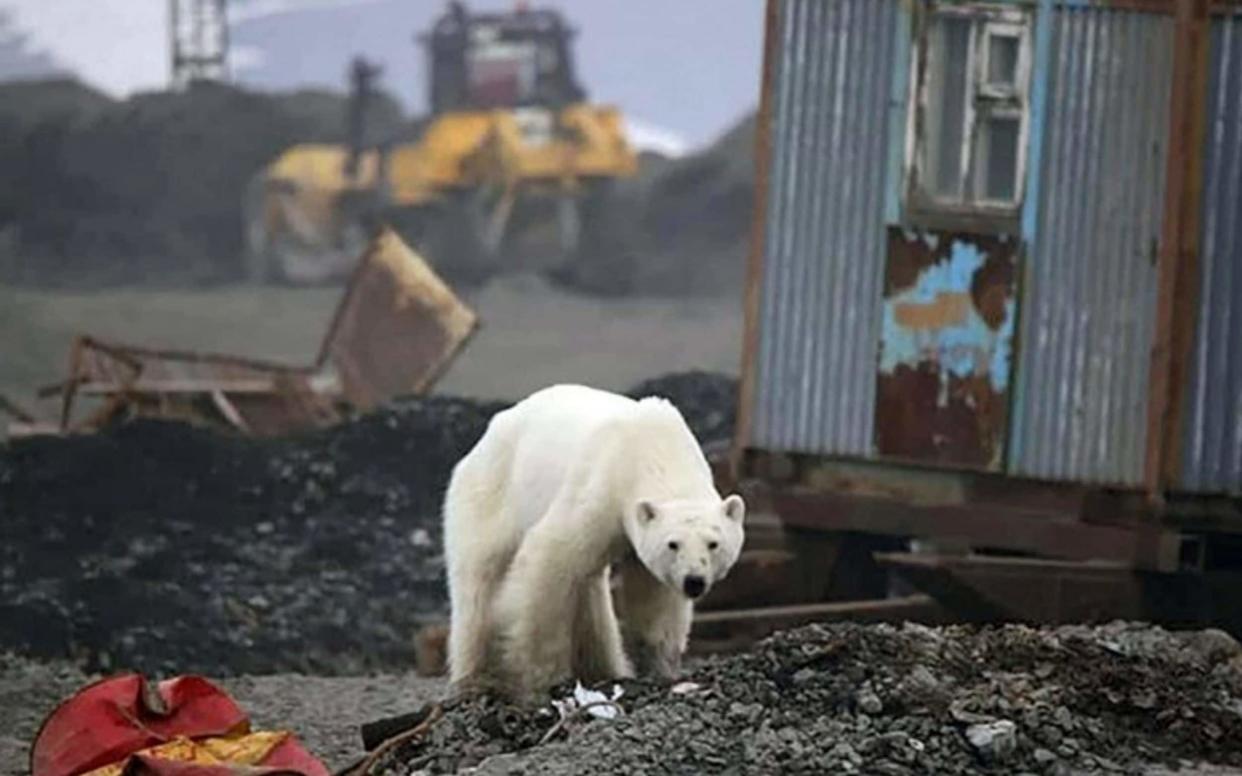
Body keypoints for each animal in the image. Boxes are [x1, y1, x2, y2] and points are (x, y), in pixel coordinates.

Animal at [442, 384, 740, 700]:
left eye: (713, 543)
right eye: (673, 544)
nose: (694, 581)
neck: (654, 449)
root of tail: (485, 437)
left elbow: (654, 594)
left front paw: (660, 667)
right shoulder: (600, 488)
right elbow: (548, 559)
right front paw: (545, 678)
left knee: (589, 590)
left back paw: (604, 669)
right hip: (489, 493)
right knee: (479, 581)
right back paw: (475, 677)